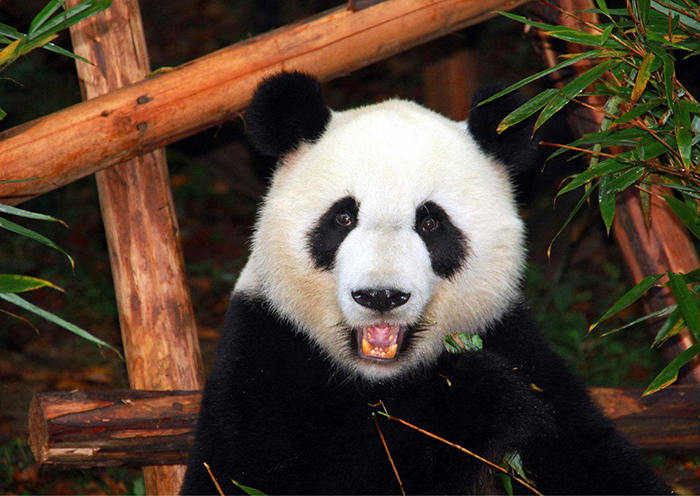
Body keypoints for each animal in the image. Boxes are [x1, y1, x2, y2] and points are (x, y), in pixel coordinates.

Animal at [181, 72, 669, 495]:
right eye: (343, 217)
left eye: (431, 223)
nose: (381, 296)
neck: (380, 380)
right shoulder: (264, 353)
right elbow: (259, 477)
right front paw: (470, 399)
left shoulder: (516, 345)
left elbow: (591, 458)